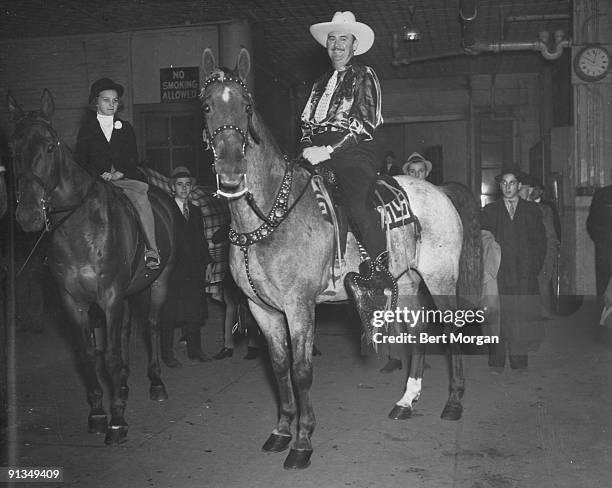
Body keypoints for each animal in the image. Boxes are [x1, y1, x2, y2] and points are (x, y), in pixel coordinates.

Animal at [7, 89, 175, 444]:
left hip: (159, 282)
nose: (28, 216)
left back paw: (155, 383)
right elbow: (88, 356)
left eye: (50, 145)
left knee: (152, 326)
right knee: (125, 332)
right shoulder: (74, 301)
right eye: (12, 149)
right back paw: (124, 385)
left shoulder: (109, 296)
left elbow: (109, 356)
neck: (79, 228)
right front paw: (99, 412)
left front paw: (117, 421)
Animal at [203, 49, 486, 468]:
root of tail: (439, 191)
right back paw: (406, 401)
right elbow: (279, 368)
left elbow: (302, 371)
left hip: (440, 278)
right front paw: (281, 431)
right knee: (417, 332)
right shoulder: (261, 309)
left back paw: (453, 403)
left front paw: (302, 442)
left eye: (247, 106)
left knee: (450, 330)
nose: (231, 175)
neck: (269, 213)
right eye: (207, 106)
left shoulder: (299, 306)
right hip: (405, 281)